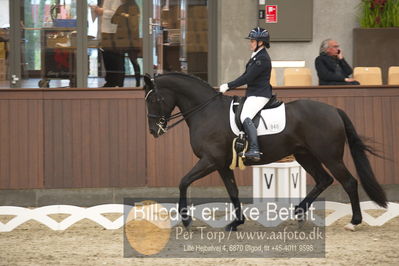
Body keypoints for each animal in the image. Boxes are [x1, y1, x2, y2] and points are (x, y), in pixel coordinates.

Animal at [143, 72, 388, 231]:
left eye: (155, 99)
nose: (154, 130)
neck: (206, 111)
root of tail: (334, 110)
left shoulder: (210, 161)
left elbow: (183, 182)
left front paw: (186, 220)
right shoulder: (221, 164)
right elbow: (233, 191)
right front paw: (236, 222)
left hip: (329, 156)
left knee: (349, 182)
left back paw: (354, 222)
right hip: (305, 155)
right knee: (323, 180)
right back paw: (299, 212)